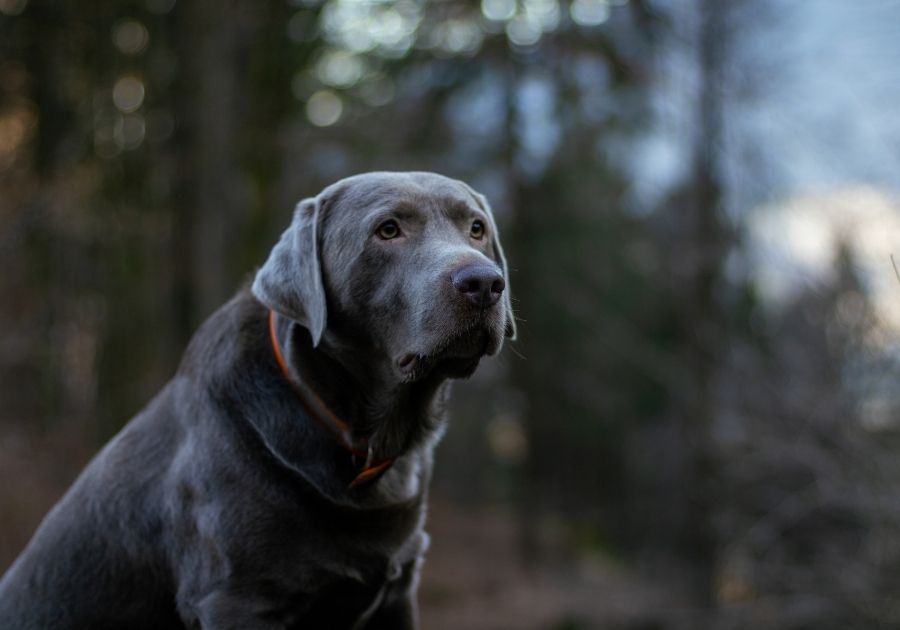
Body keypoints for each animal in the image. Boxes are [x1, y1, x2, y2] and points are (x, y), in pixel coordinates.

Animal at [0, 170, 516, 628]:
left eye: (476, 228)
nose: (484, 282)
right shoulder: (236, 599)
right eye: (388, 229)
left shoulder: (400, 591)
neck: (363, 440)